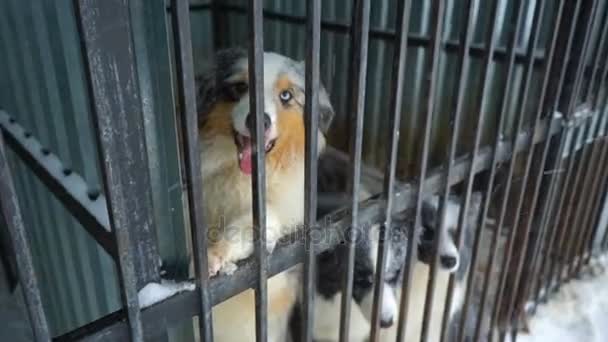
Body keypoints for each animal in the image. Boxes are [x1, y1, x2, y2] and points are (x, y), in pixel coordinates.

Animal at [197, 48, 334, 342]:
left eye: (286, 96)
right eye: (240, 87)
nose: (259, 120)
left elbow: (259, 222)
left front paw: (221, 252)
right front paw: (211, 258)